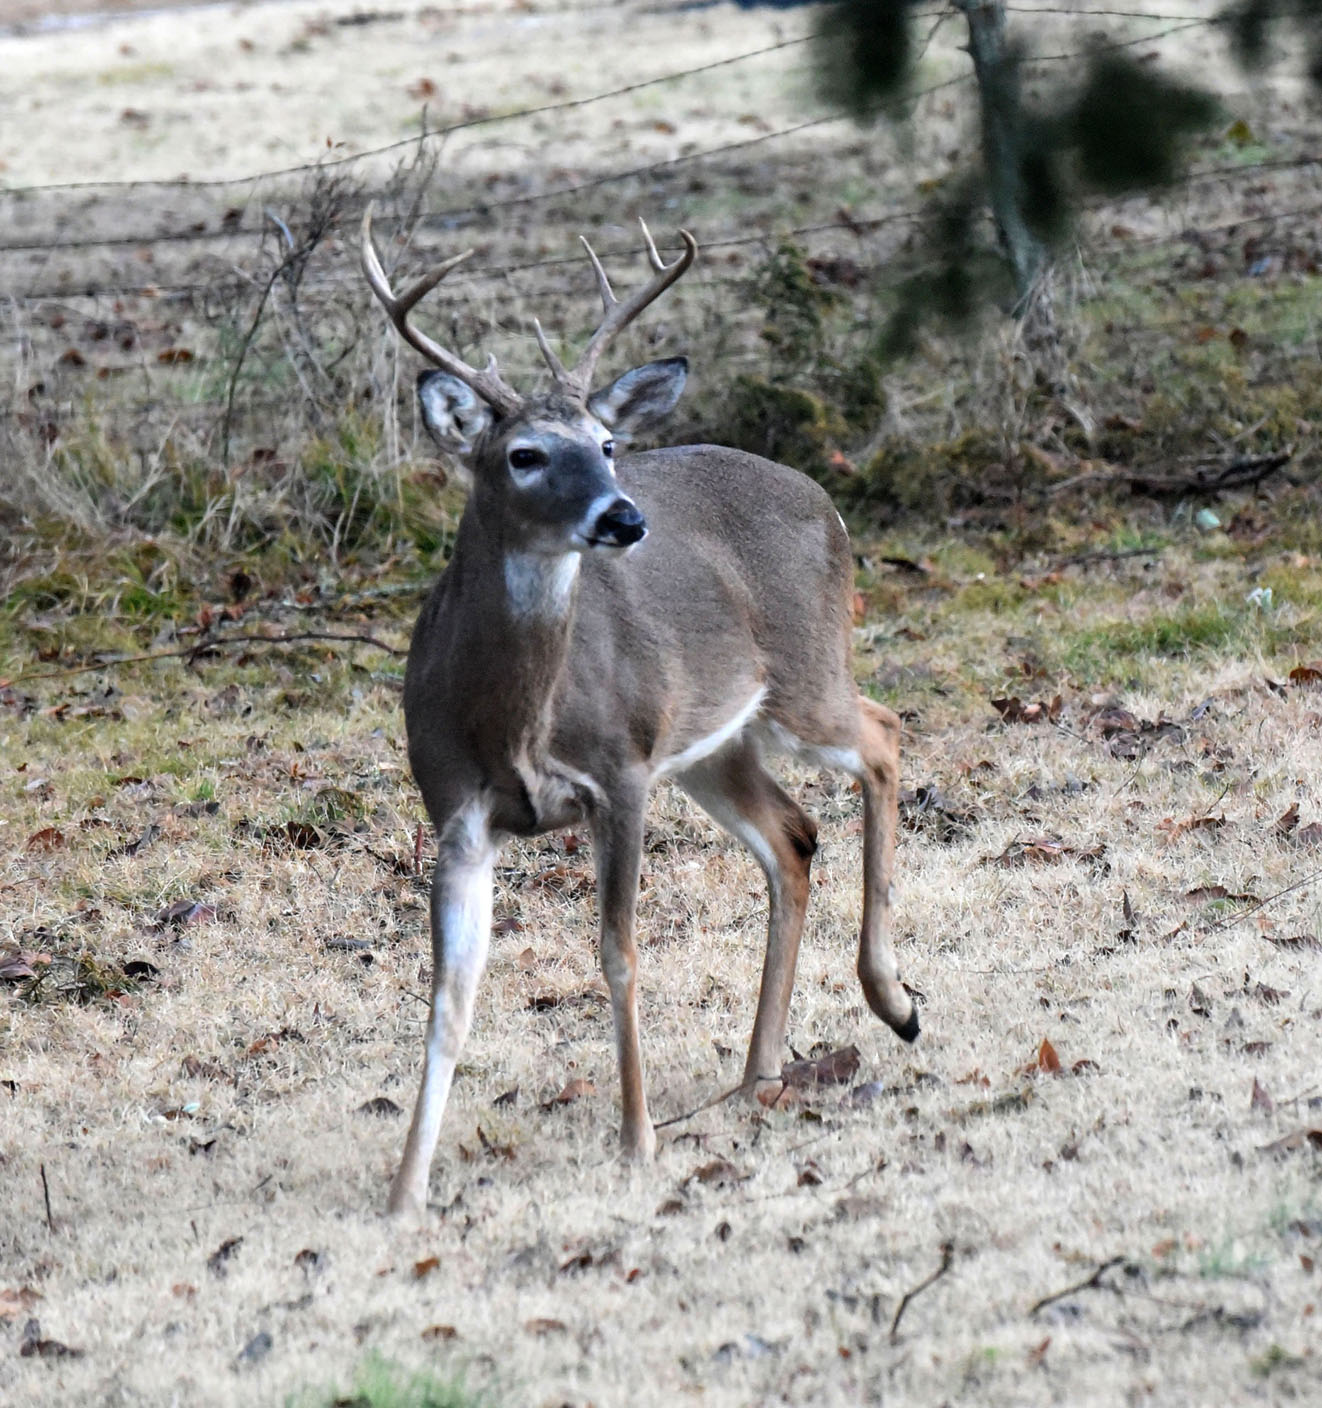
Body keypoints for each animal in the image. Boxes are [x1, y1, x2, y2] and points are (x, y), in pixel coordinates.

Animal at [360, 205, 919, 1216]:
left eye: (607, 443)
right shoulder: (455, 808)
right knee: (792, 834)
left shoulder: (619, 773)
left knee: (885, 732)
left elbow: (617, 953)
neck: (514, 722)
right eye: (524, 454)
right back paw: (762, 1070)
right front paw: (404, 1195)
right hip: (710, 741)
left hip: (803, 677)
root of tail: (825, 499)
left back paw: (893, 1003)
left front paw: (638, 1140)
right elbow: (448, 998)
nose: (622, 518)